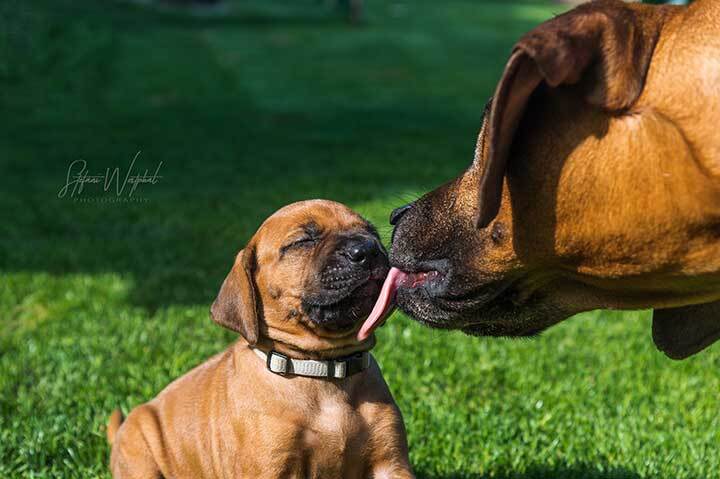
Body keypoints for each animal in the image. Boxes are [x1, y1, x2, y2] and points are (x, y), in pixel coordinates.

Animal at [104, 202, 414, 479]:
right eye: (303, 240)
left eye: (371, 231)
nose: (369, 250)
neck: (323, 368)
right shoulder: (271, 467)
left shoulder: (391, 463)